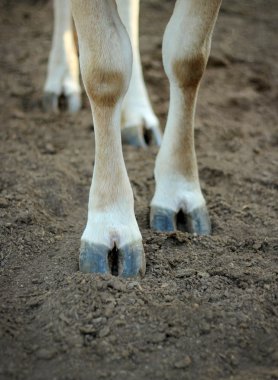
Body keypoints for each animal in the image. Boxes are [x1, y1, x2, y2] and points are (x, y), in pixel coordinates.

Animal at [43, 0, 222, 280]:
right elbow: (105, 74)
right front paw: (111, 226)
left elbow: (188, 59)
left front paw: (178, 189)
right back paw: (61, 81)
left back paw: (137, 116)